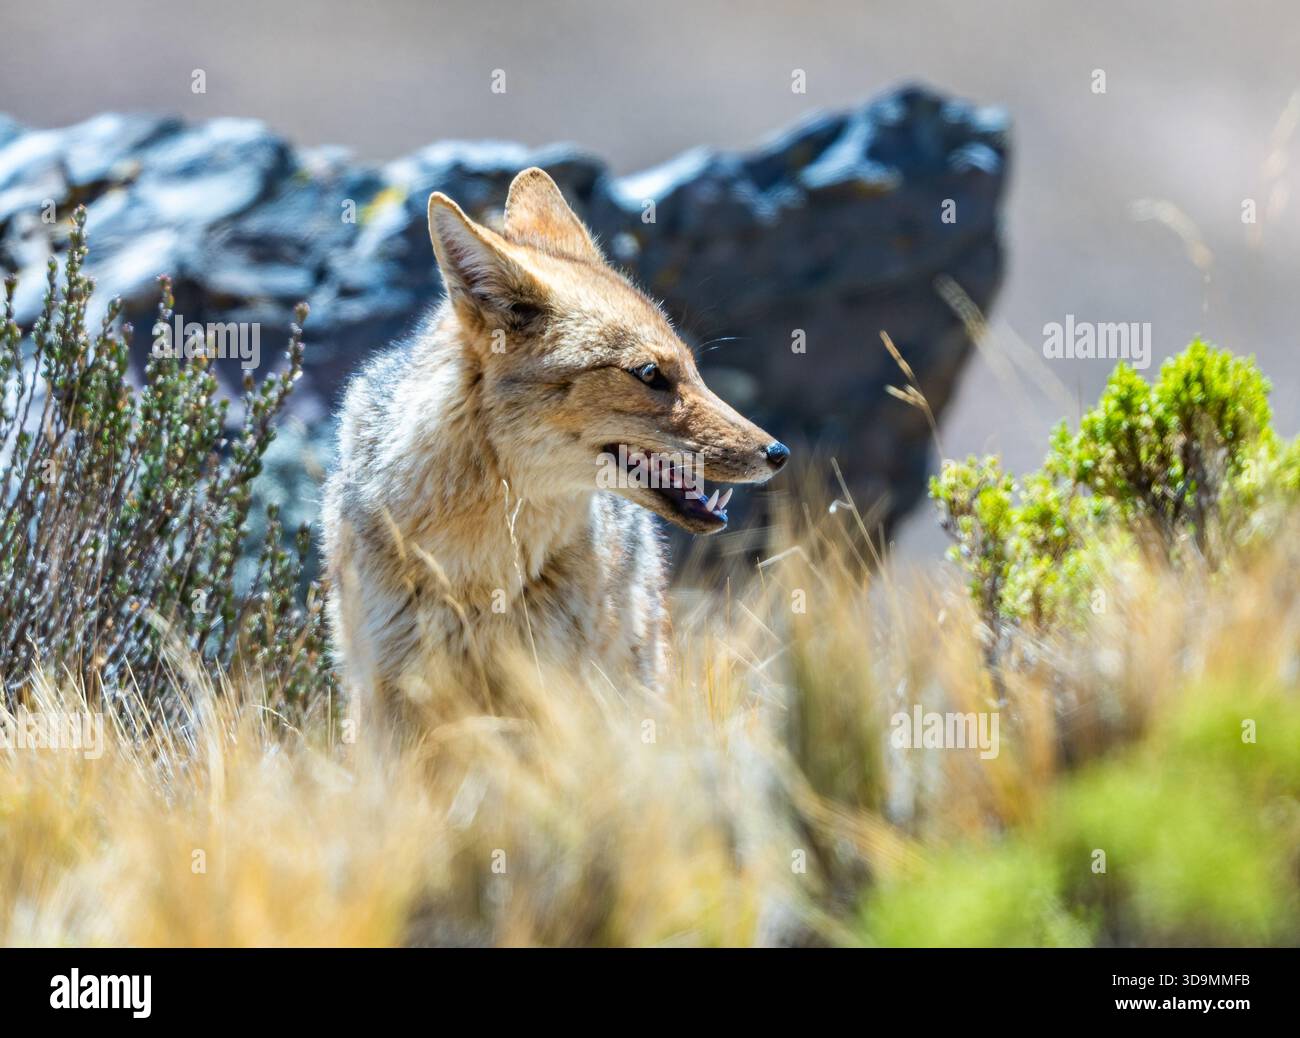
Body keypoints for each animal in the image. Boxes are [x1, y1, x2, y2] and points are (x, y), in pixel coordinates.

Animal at [322, 167, 788, 731]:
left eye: (693, 369)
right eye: (649, 374)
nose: (778, 453)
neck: (478, 569)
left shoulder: (552, 694)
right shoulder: (387, 698)